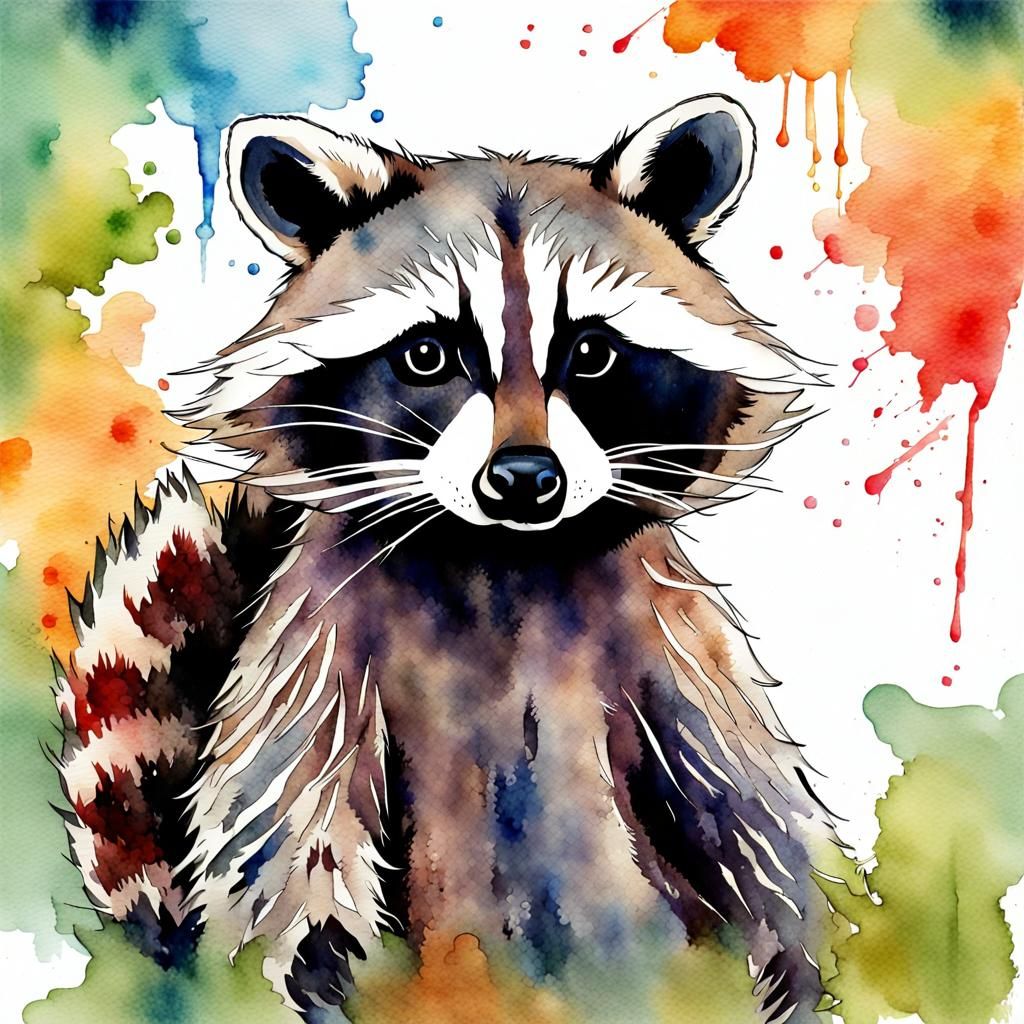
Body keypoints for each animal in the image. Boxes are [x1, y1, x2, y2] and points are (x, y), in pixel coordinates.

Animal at [56, 96, 837, 1023]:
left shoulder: (665, 627)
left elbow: (741, 805)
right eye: (428, 354)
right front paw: (308, 972)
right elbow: (290, 823)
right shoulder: (320, 639)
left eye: (591, 353)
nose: (526, 478)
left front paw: (791, 958)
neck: (500, 554)